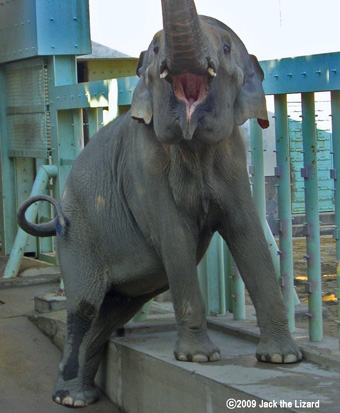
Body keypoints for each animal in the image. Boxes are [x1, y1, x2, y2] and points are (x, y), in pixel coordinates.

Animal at [17, 0, 302, 406]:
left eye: (227, 48)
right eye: (153, 50)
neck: (193, 144)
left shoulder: (233, 157)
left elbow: (246, 233)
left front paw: (283, 359)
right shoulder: (144, 165)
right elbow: (175, 236)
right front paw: (199, 357)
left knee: (114, 310)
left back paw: (79, 393)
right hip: (77, 238)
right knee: (85, 306)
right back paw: (70, 398)